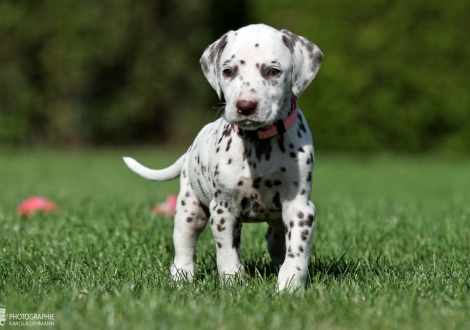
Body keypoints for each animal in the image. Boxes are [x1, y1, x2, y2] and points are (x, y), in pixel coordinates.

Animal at [123, 23, 324, 292]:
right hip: (189, 209)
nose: (245, 106)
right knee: (184, 244)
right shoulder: (223, 208)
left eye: (273, 71)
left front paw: (289, 284)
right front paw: (232, 282)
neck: (259, 145)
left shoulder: (300, 208)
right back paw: (181, 276)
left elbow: (297, 251)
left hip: (276, 218)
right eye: (228, 71)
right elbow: (227, 251)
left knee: (275, 238)